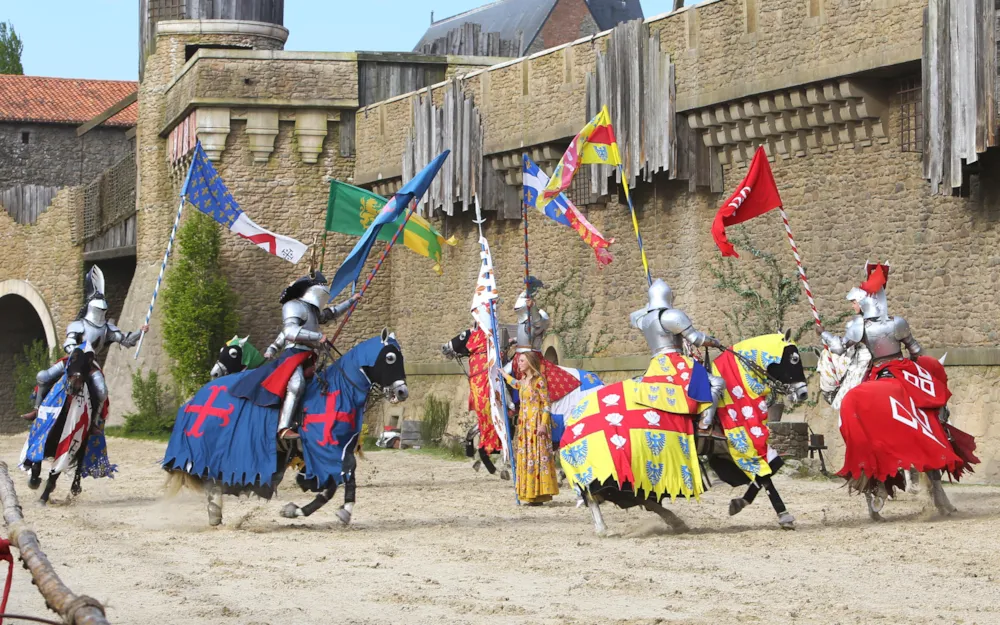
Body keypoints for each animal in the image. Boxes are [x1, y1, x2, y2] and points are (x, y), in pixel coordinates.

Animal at [19, 348, 117, 504]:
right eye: (71, 363)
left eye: (84, 368)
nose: (74, 386)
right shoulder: (42, 440)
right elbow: (36, 466)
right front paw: (34, 481)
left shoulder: (67, 449)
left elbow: (54, 475)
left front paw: (44, 497)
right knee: (43, 376)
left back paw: (75, 487)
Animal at [164, 330, 406, 524]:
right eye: (390, 357)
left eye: (232, 353)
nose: (402, 392)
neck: (338, 392)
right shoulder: (322, 450)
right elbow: (334, 480)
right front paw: (308, 504)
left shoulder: (337, 450)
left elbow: (340, 479)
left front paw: (324, 509)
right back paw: (216, 507)